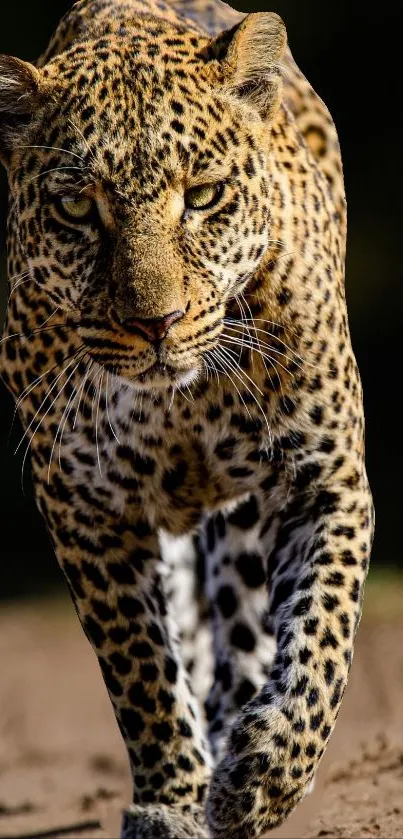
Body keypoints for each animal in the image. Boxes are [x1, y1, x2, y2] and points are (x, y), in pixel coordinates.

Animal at [0, 0, 376, 836]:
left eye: (202, 196)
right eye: (77, 207)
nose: (156, 323)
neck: (183, 398)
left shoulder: (324, 476)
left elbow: (321, 639)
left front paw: (264, 774)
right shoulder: (85, 506)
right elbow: (140, 669)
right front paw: (172, 801)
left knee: (246, 624)